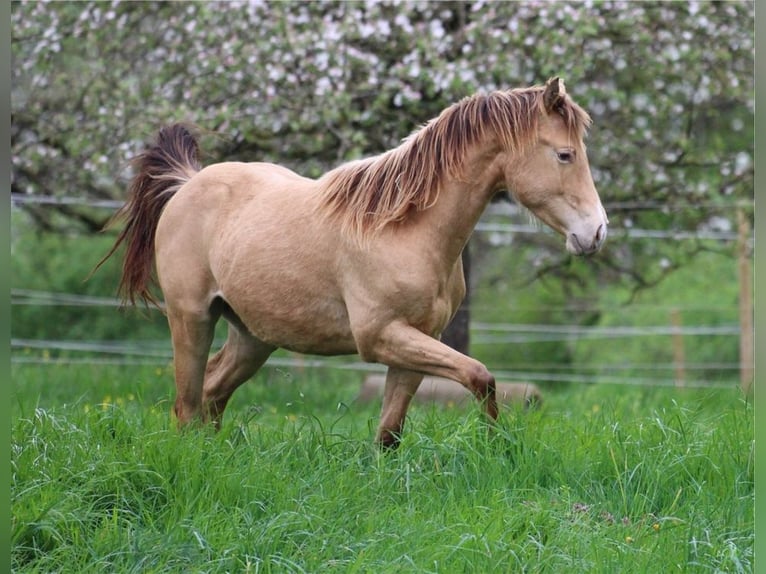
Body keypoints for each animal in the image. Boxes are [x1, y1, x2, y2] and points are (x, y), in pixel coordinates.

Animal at [99, 76, 608, 450]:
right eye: (565, 155)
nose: (596, 232)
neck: (402, 229)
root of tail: (187, 184)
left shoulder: (416, 341)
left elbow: (389, 433)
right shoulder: (382, 337)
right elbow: (480, 377)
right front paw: (496, 445)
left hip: (252, 336)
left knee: (211, 396)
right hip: (192, 319)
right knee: (187, 407)